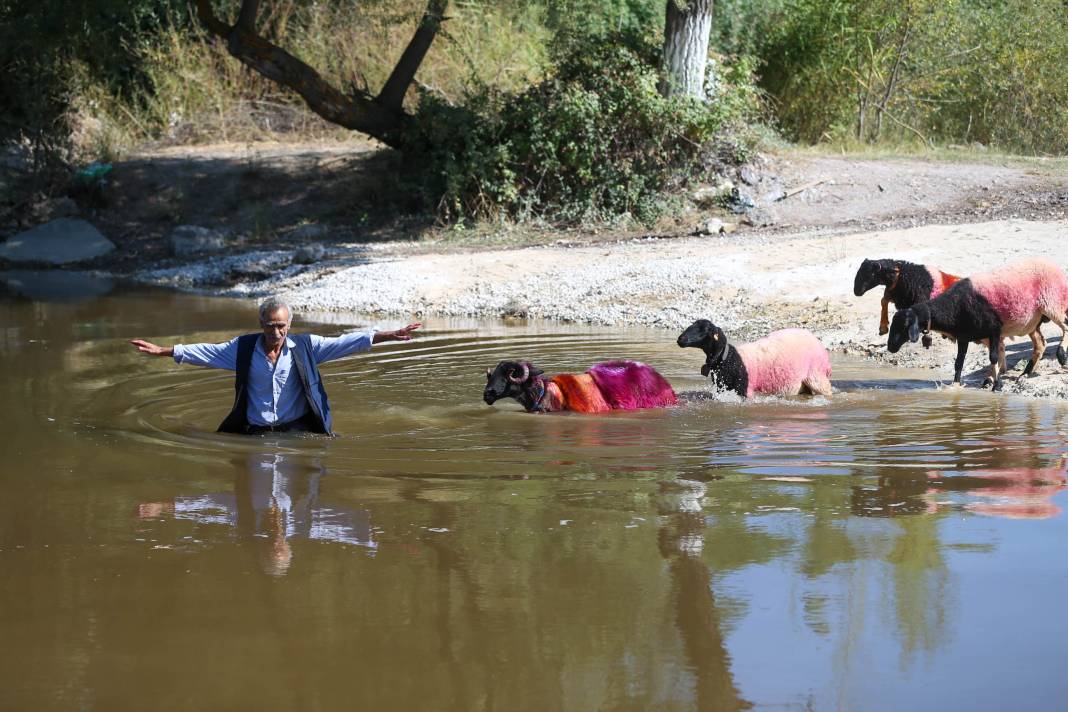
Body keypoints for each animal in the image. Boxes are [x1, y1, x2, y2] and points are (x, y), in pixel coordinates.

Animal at [674, 320, 833, 399]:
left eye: (705, 331)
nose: (680, 339)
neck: (728, 359)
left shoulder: (745, 389)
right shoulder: (722, 388)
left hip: (816, 375)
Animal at [884, 256, 1068, 390]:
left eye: (904, 326)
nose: (890, 347)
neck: (954, 306)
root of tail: (1055, 267)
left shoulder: (994, 330)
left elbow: (994, 357)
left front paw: (997, 385)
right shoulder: (964, 337)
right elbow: (959, 362)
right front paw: (956, 385)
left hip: (1053, 303)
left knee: (1065, 327)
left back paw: (1061, 354)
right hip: (1032, 320)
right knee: (1040, 344)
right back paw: (1026, 373)